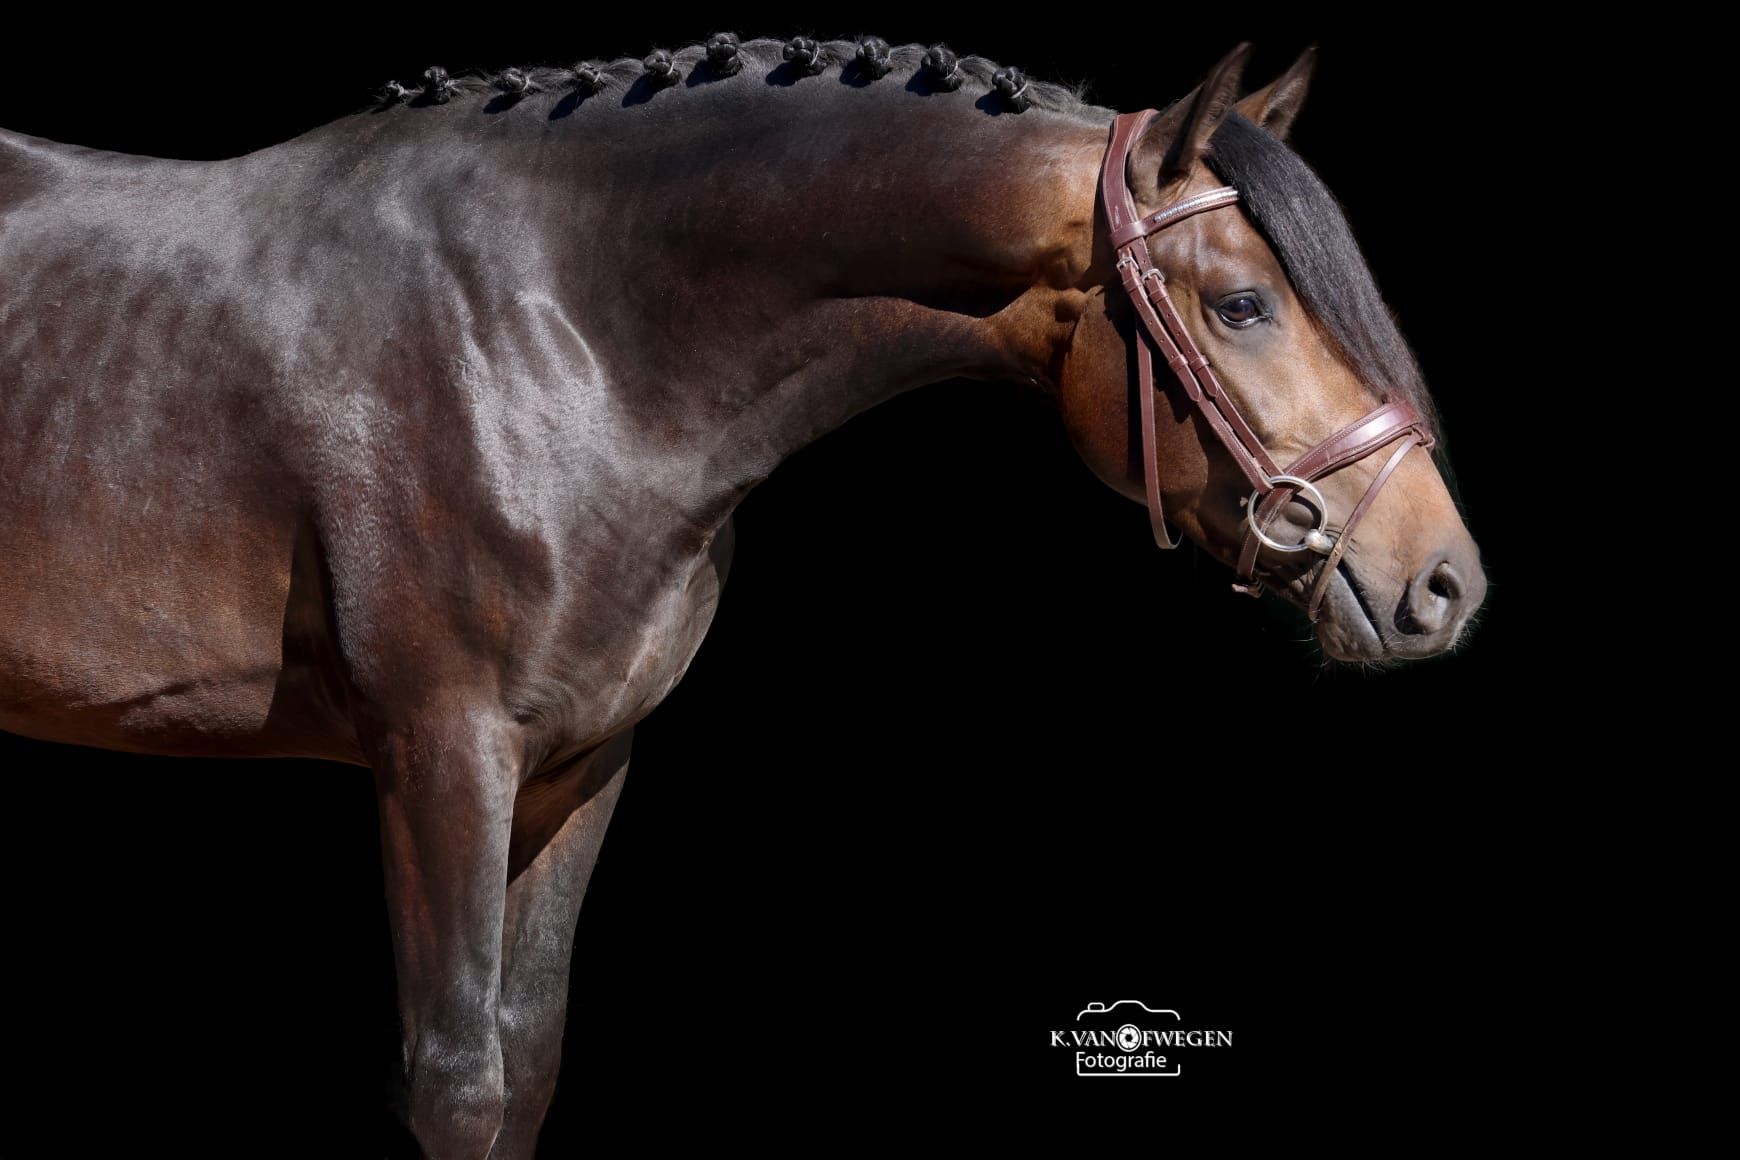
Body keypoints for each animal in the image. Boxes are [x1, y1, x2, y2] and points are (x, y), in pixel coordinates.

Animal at [0, 35, 1485, 1157]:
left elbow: (525, 1064)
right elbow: (458, 1080)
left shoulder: (579, 762)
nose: (1443, 580)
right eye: (1239, 306)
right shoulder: (441, 753)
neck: (559, 324)